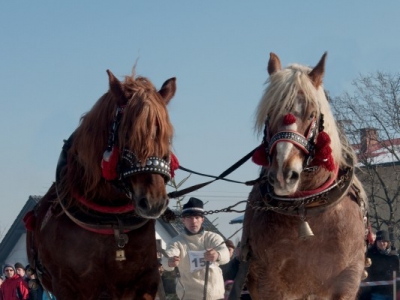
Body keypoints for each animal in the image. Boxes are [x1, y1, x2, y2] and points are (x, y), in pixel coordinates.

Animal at [26, 68, 178, 300]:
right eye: (128, 134)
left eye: (166, 137)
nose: (154, 203)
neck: (112, 224)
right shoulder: (68, 286)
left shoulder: (146, 281)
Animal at [241, 54, 368, 300]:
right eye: (270, 114)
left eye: (311, 114)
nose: (283, 174)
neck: (306, 207)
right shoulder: (269, 282)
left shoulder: (346, 281)